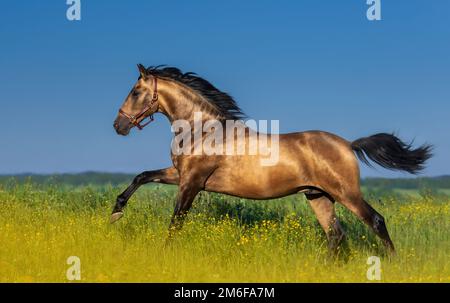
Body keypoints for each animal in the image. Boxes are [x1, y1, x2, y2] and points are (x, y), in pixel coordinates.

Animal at [110, 65, 430, 255]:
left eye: (136, 92)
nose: (118, 126)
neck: (203, 131)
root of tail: (348, 145)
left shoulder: (191, 182)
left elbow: (176, 221)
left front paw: (165, 251)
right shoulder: (180, 174)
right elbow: (142, 176)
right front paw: (116, 212)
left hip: (345, 192)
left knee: (375, 221)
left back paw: (392, 262)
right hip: (318, 196)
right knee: (336, 236)